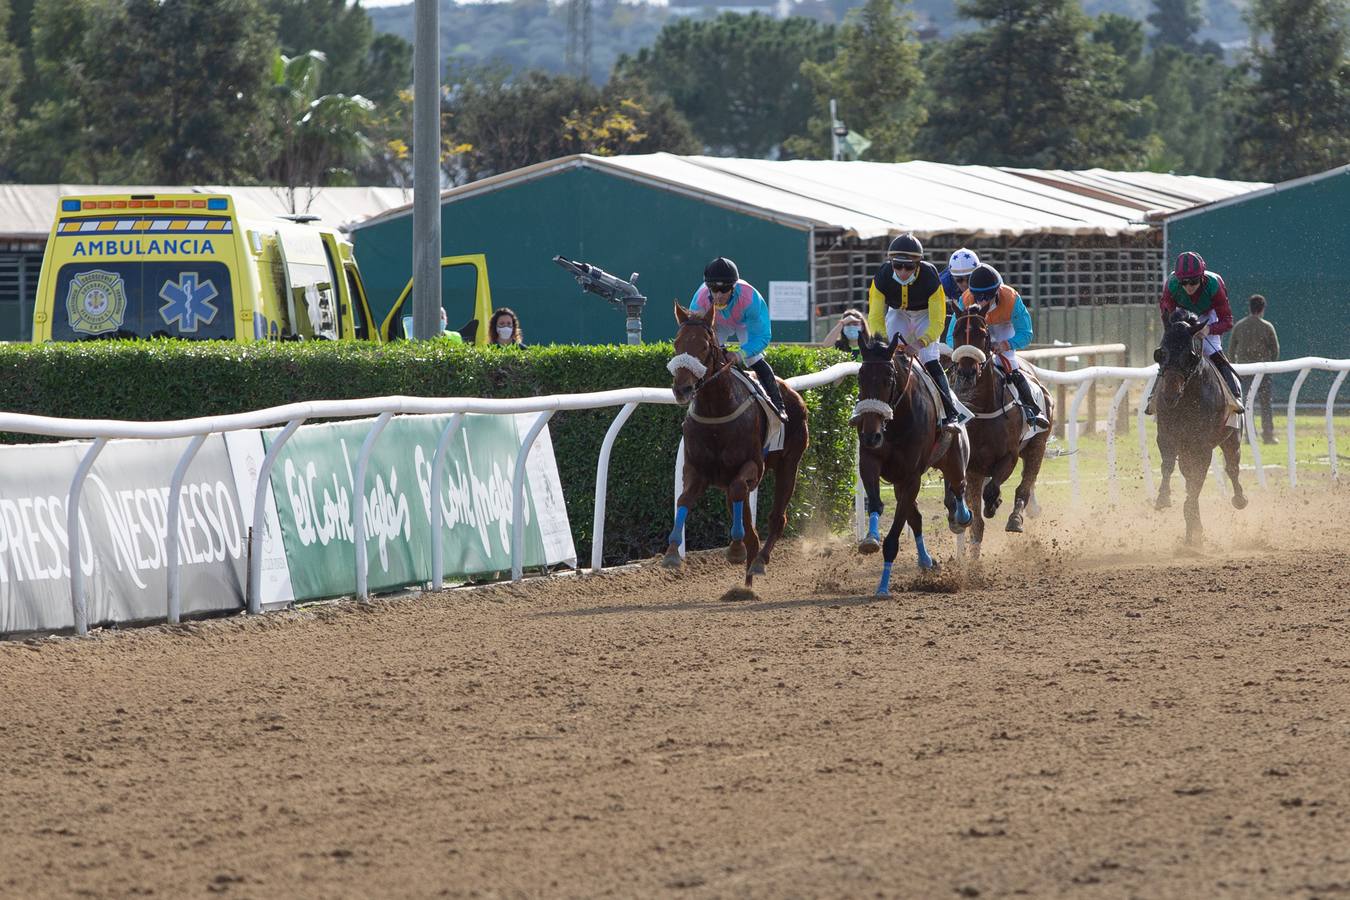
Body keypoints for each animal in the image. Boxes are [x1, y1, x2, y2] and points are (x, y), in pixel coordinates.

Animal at [666, 302, 810, 591]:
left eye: (704, 346)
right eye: (677, 344)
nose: (682, 389)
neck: (716, 413)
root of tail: (792, 392)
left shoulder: (752, 467)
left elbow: (738, 490)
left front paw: (734, 550)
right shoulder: (696, 470)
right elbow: (684, 498)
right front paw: (672, 553)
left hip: (790, 463)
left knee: (776, 518)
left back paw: (758, 562)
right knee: (750, 530)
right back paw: (746, 584)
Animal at [853, 327, 972, 593]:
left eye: (888, 378)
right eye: (860, 377)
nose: (871, 435)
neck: (895, 423)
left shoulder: (910, 478)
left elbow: (894, 537)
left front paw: (883, 586)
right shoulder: (870, 461)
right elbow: (876, 503)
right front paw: (870, 539)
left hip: (954, 457)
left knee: (959, 486)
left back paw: (961, 517)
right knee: (916, 518)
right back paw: (926, 560)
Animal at [950, 306, 1053, 555]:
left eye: (983, 334)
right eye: (956, 332)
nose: (967, 372)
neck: (984, 410)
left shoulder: (1009, 456)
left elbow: (992, 490)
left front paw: (994, 504)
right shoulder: (973, 467)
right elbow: (976, 521)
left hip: (1037, 445)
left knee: (1024, 486)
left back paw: (1015, 518)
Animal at [1155, 310, 1247, 542]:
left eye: (1190, 355)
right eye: (1160, 353)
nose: (1170, 394)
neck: (1187, 400)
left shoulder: (1202, 445)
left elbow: (1197, 480)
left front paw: (1193, 528)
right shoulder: (1167, 435)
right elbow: (1168, 466)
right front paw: (1163, 498)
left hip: (1232, 436)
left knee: (1232, 466)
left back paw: (1239, 499)